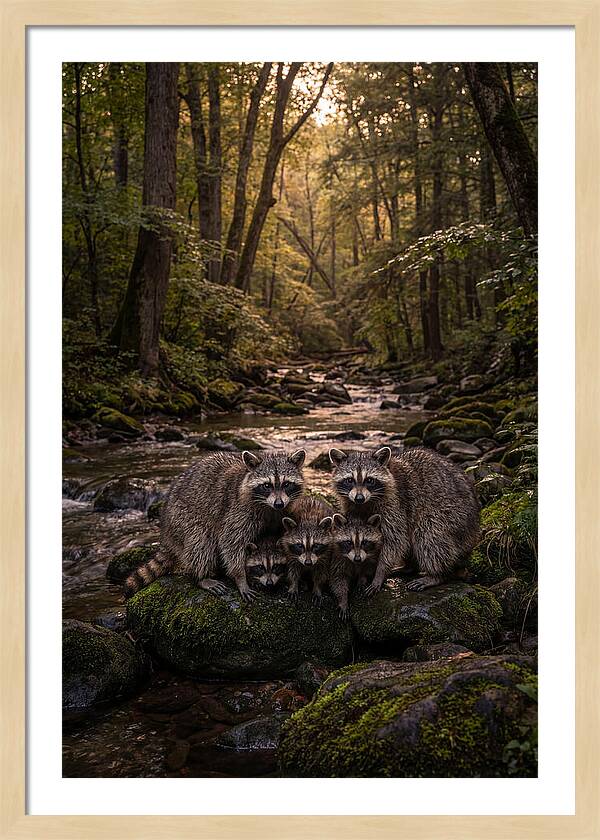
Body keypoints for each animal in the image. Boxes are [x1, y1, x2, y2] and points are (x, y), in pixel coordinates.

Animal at [124, 448, 306, 601]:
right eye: (267, 485)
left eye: (286, 484)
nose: (279, 503)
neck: (269, 507)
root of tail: (166, 532)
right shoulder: (237, 512)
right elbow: (231, 543)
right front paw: (241, 577)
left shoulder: (281, 513)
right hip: (182, 519)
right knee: (201, 543)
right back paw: (201, 577)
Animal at [328, 446, 480, 593]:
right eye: (350, 480)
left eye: (369, 480)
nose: (359, 498)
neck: (366, 502)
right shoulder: (351, 504)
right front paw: (364, 572)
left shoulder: (395, 503)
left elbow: (395, 540)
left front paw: (380, 572)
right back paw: (410, 567)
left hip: (453, 516)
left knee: (428, 535)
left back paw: (437, 574)